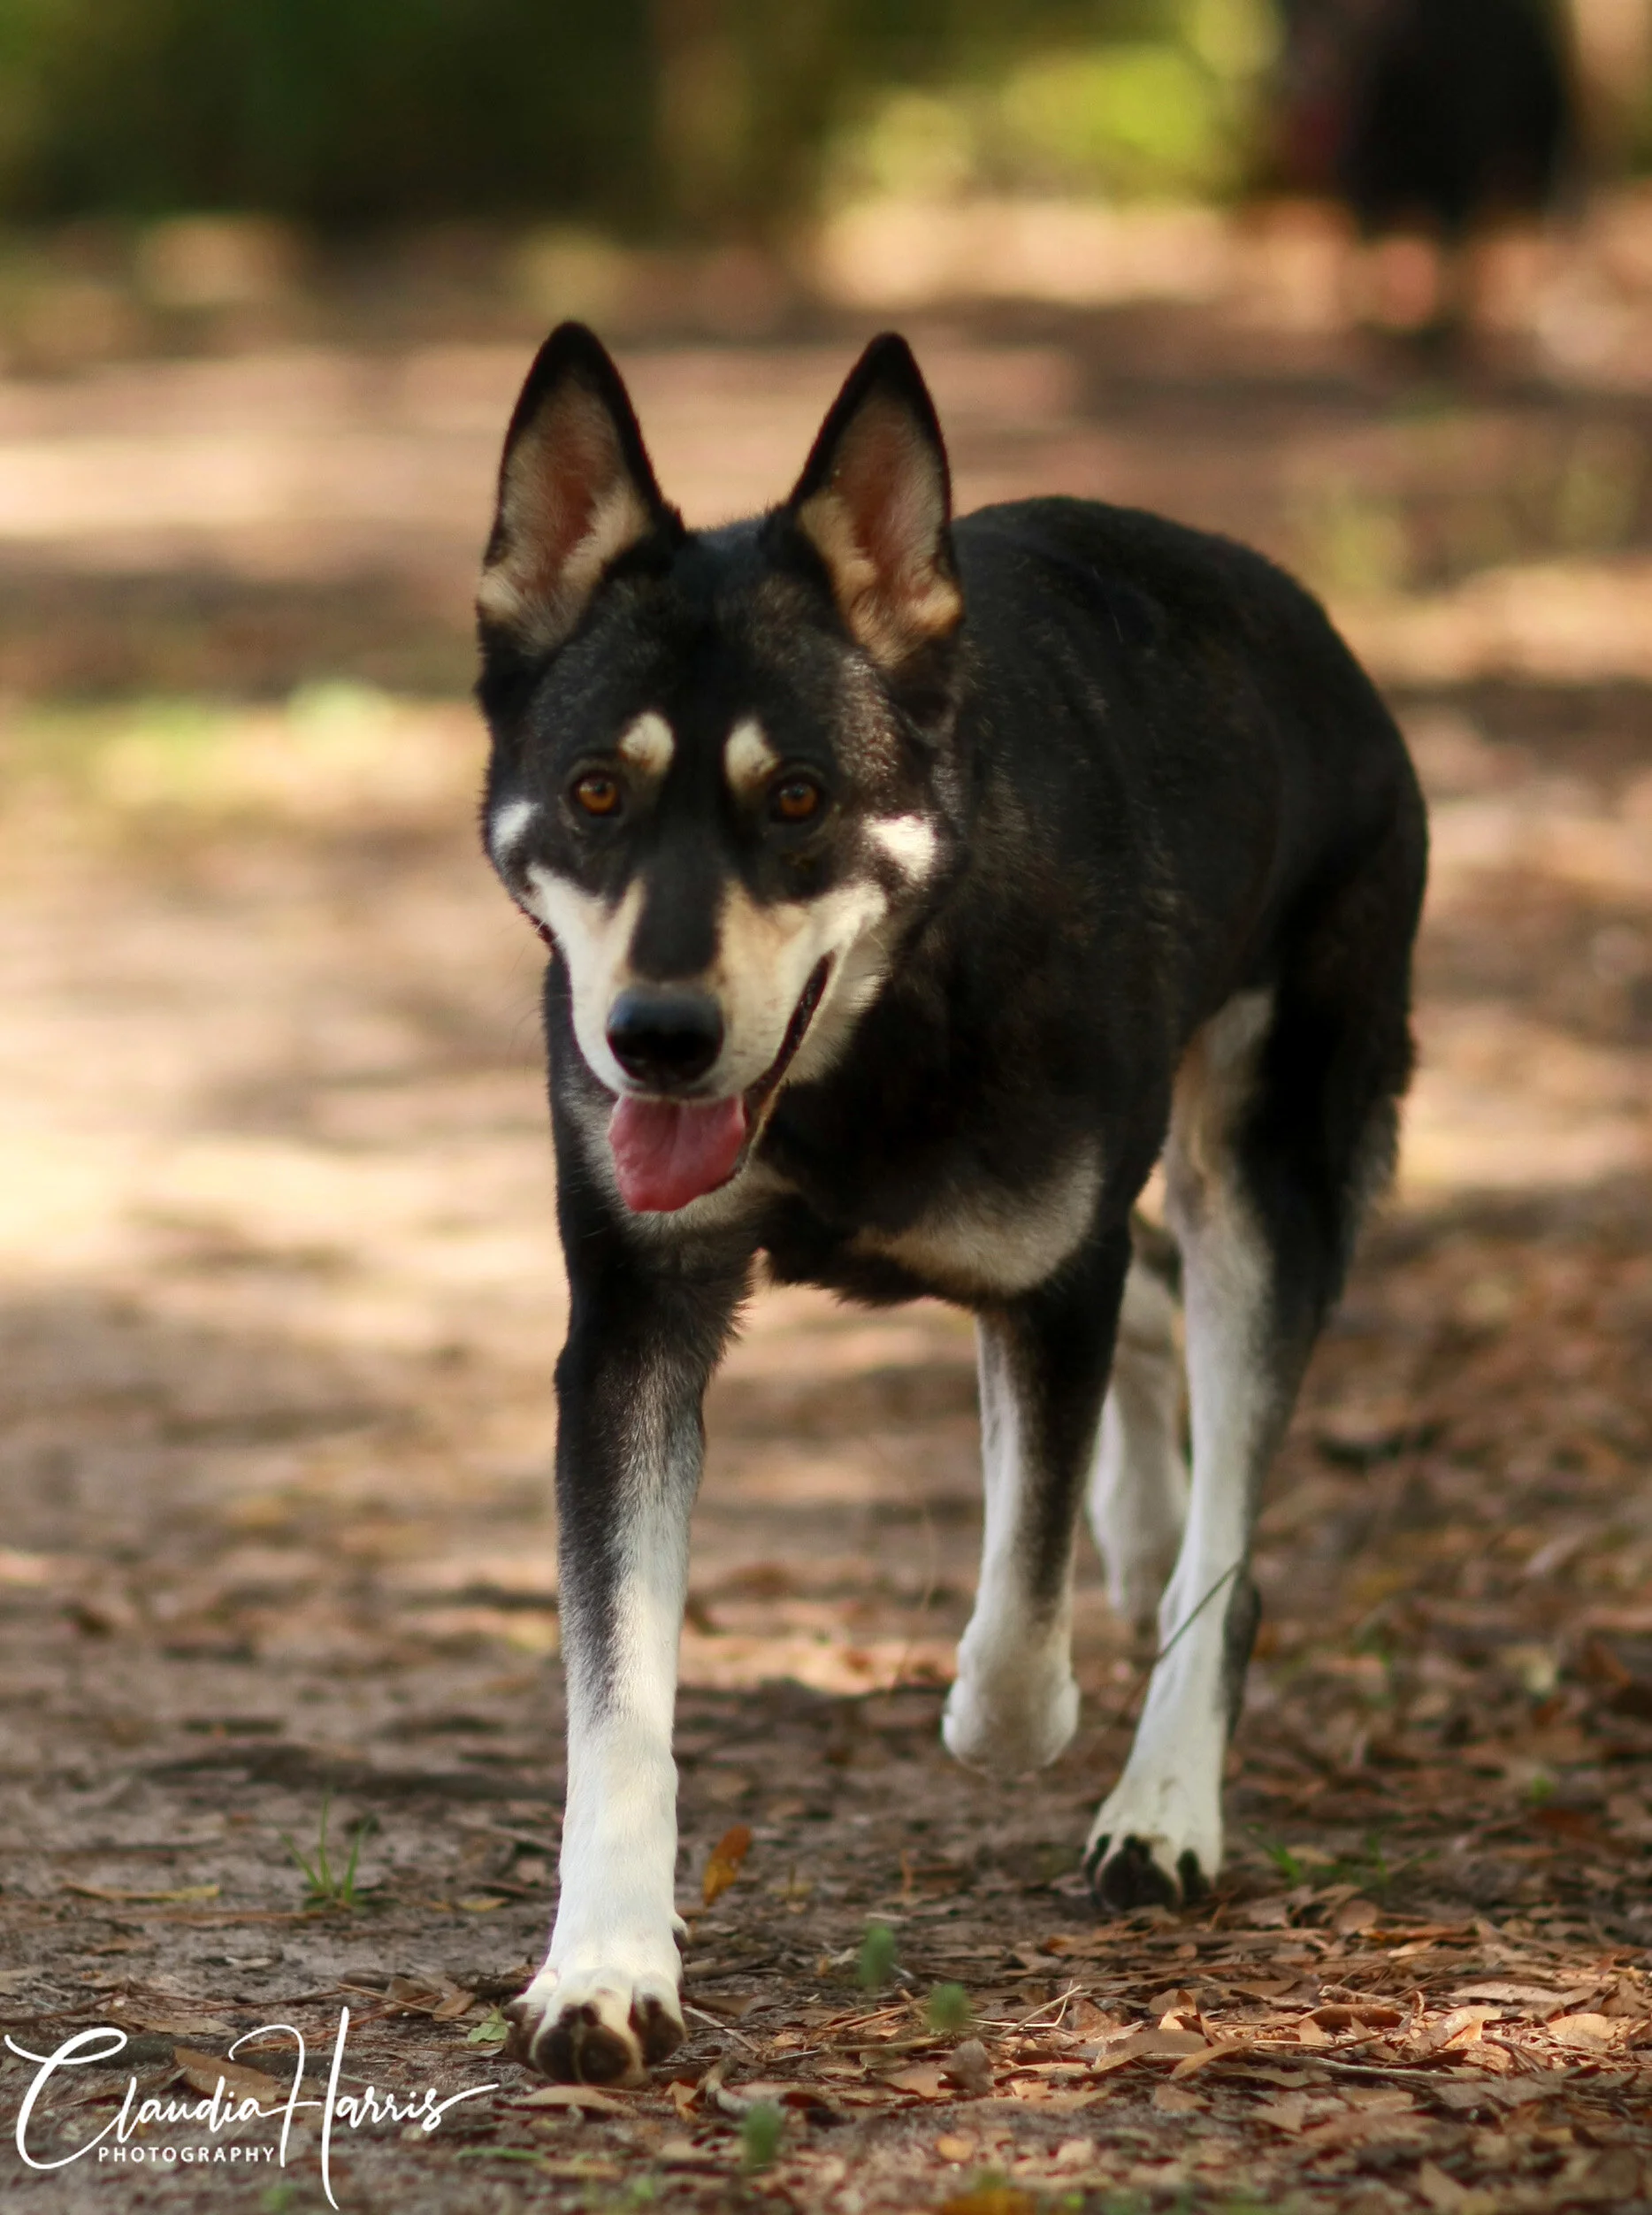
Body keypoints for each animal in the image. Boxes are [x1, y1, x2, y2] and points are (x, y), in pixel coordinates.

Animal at [475, 324, 1427, 2084]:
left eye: (796, 800)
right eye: (591, 792)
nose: (655, 1036)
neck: (869, 1043)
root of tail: (1310, 625)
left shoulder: (1050, 1275)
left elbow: (1014, 1615)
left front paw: (1033, 1718)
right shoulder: (630, 1335)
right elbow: (617, 1694)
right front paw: (606, 1966)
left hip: (1266, 1169)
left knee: (1223, 1532)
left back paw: (1161, 1799)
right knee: (1157, 1348)